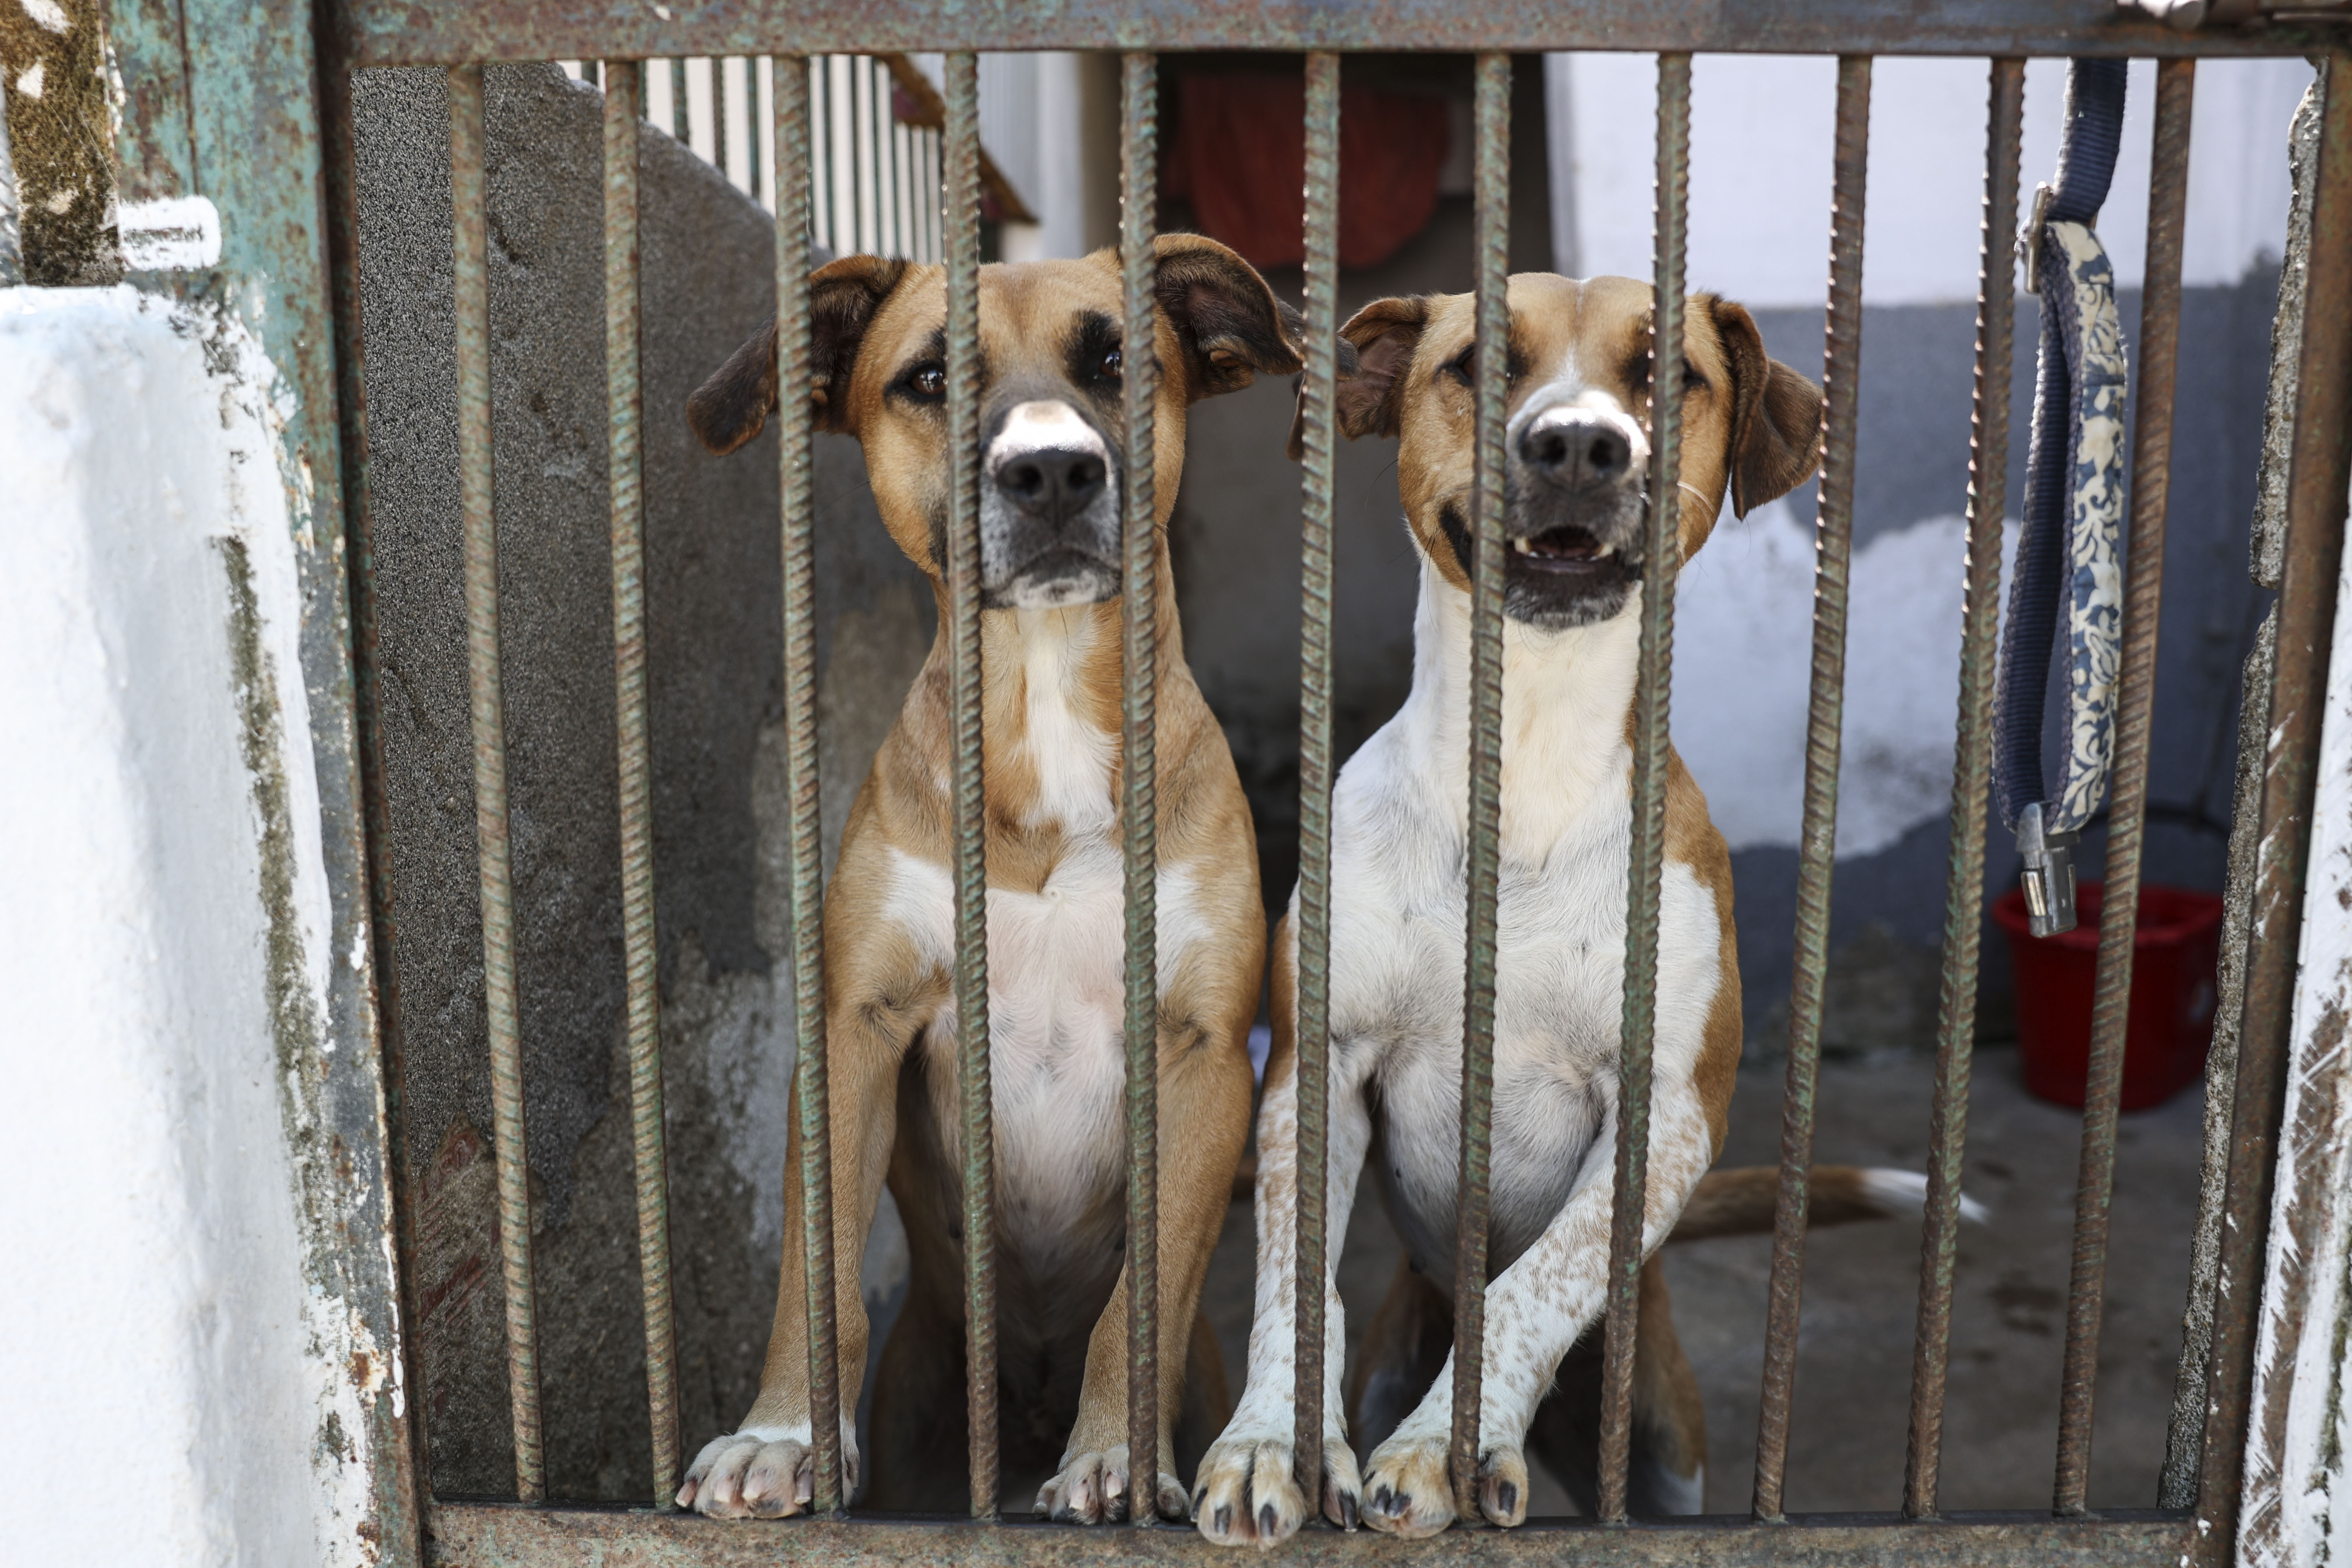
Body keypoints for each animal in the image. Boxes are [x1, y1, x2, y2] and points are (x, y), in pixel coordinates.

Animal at [672, 240, 1308, 1523]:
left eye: (1113, 358)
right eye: (928, 377)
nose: (1052, 470)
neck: (1044, 702)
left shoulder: (1205, 1053)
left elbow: (1138, 1304)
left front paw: (1115, 1456)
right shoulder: (854, 1028)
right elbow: (816, 1270)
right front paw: (777, 1434)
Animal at [1204, 273, 1825, 1542]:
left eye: (1667, 371)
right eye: (1478, 361)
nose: (1580, 442)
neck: (1527, 764)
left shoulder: (1670, 1113)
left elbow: (1540, 1276)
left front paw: (1443, 1449)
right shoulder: (1314, 1061)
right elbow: (1295, 1282)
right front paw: (1269, 1445)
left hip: (1665, 1443)